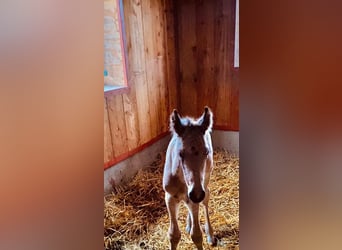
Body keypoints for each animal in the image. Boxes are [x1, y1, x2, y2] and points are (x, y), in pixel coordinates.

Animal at [162, 107, 215, 250]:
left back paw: (210, 234)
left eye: (206, 152)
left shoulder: (196, 194)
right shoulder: (169, 197)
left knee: (206, 199)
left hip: (205, 181)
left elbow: (196, 235)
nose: (196, 194)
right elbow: (173, 235)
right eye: (180, 153)